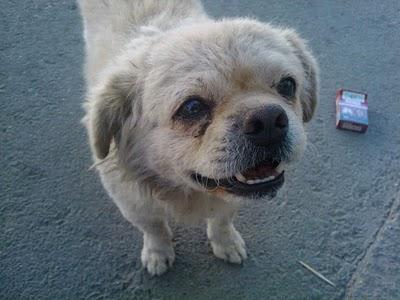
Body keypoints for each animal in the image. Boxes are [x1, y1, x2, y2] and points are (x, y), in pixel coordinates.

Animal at [78, 0, 318, 276]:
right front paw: (158, 253)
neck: (185, 191)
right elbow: (155, 229)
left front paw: (226, 242)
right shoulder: (135, 206)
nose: (268, 120)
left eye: (287, 85)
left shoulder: (228, 203)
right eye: (192, 108)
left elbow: (222, 220)